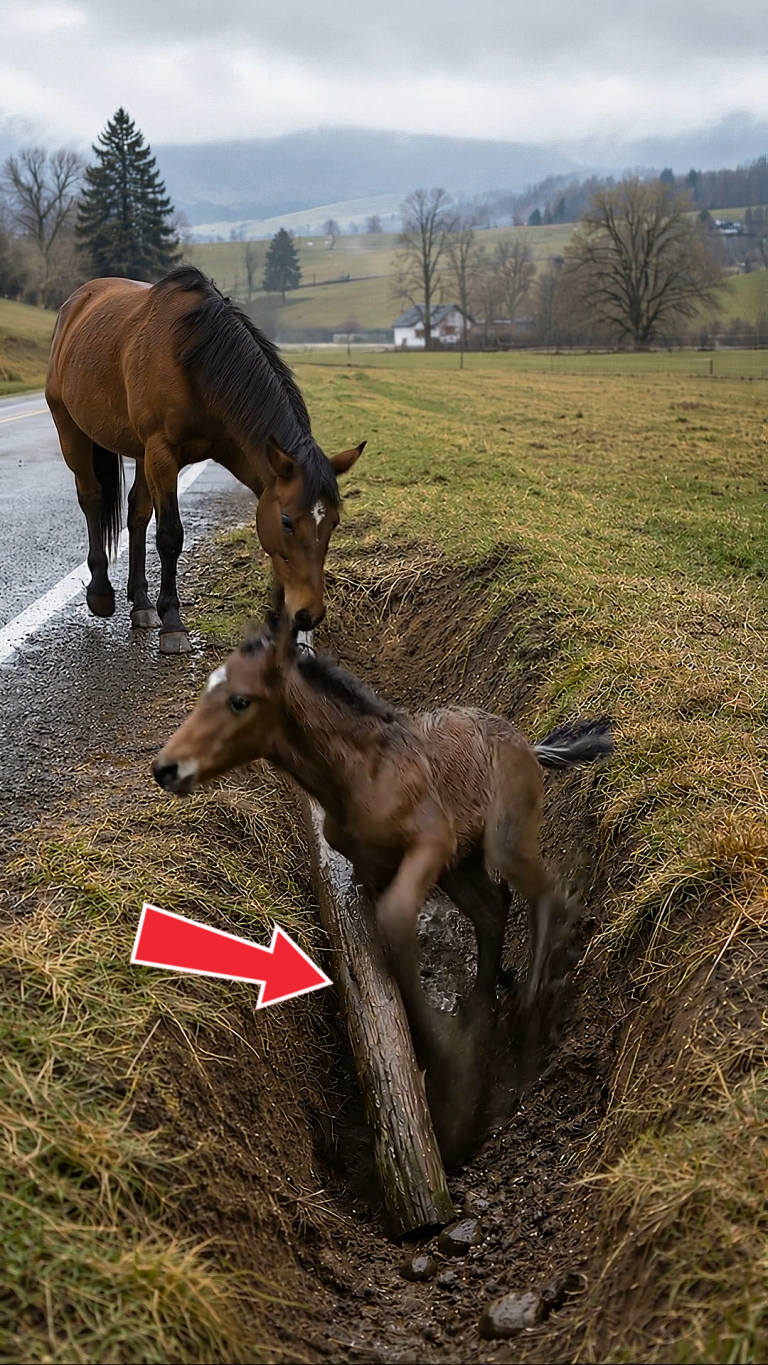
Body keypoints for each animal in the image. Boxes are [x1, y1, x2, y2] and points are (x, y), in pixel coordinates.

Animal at [45, 266, 364, 653]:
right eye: (288, 521)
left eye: (334, 522)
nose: (309, 615)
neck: (190, 357)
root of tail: (77, 303)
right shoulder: (162, 455)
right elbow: (170, 536)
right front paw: (173, 623)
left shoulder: (243, 458)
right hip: (72, 432)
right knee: (92, 499)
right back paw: (102, 593)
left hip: (139, 452)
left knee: (137, 514)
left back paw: (141, 603)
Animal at [152, 616, 613, 1041]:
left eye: (239, 701)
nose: (166, 768)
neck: (364, 774)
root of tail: (531, 746)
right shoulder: (371, 867)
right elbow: (378, 924)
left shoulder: (433, 842)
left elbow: (395, 917)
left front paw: (443, 1048)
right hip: (460, 866)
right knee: (494, 907)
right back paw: (486, 1002)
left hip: (503, 840)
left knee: (545, 891)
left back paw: (530, 1008)